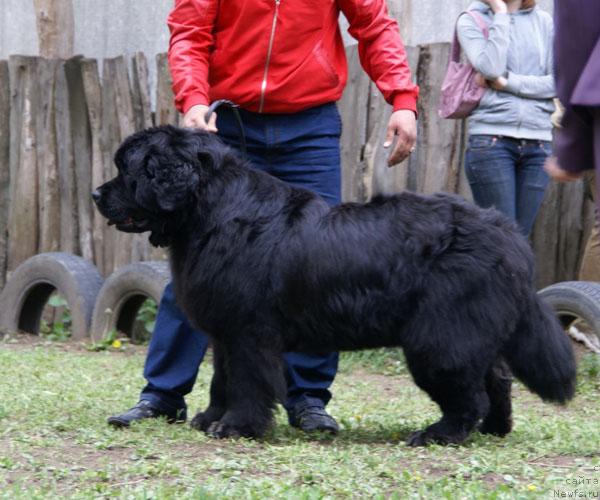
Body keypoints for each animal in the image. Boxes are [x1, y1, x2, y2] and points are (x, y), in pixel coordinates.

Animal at [94, 125, 576, 446]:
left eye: (127, 170)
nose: (97, 194)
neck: (211, 212)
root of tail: (507, 232)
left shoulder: (250, 333)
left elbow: (247, 382)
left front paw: (237, 427)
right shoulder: (226, 333)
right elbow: (221, 378)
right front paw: (211, 418)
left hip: (440, 338)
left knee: (470, 392)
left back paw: (439, 434)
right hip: (469, 332)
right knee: (497, 378)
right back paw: (495, 427)